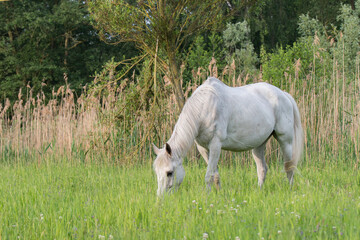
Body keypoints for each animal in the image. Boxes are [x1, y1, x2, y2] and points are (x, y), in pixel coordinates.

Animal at [153, 77, 304, 197]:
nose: (161, 198)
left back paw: (290, 191)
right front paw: (218, 194)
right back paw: (259, 192)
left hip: (285, 140)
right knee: (262, 169)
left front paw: (206, 197)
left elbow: (208, 175)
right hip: (259, 144)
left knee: (289, 167)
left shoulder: (215, 145)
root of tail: (283, 94)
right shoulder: (203, 148)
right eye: (156, 171)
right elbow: (215, 175)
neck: (205, 106)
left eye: (169, 172)